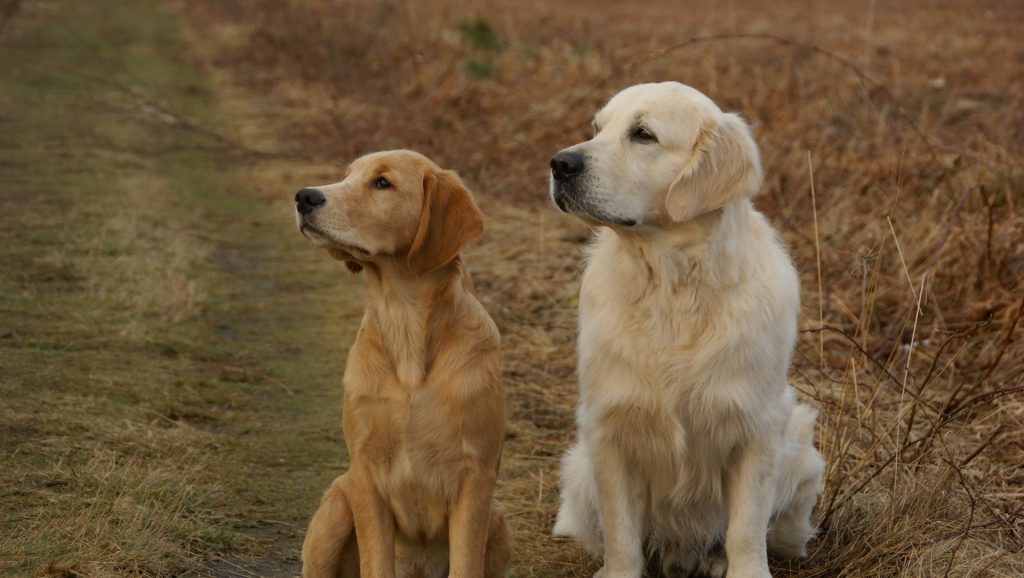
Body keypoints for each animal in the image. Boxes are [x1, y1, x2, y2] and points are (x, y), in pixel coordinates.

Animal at [552, 82, 823, 578]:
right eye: (597, 128)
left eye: (643, 134)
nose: (560, 163)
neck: (672, 287)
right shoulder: (609, 427)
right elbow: (621, 531)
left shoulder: (756, 428)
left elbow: (745, 528)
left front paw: (745, 569)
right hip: (579, 468)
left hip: (800, 452)